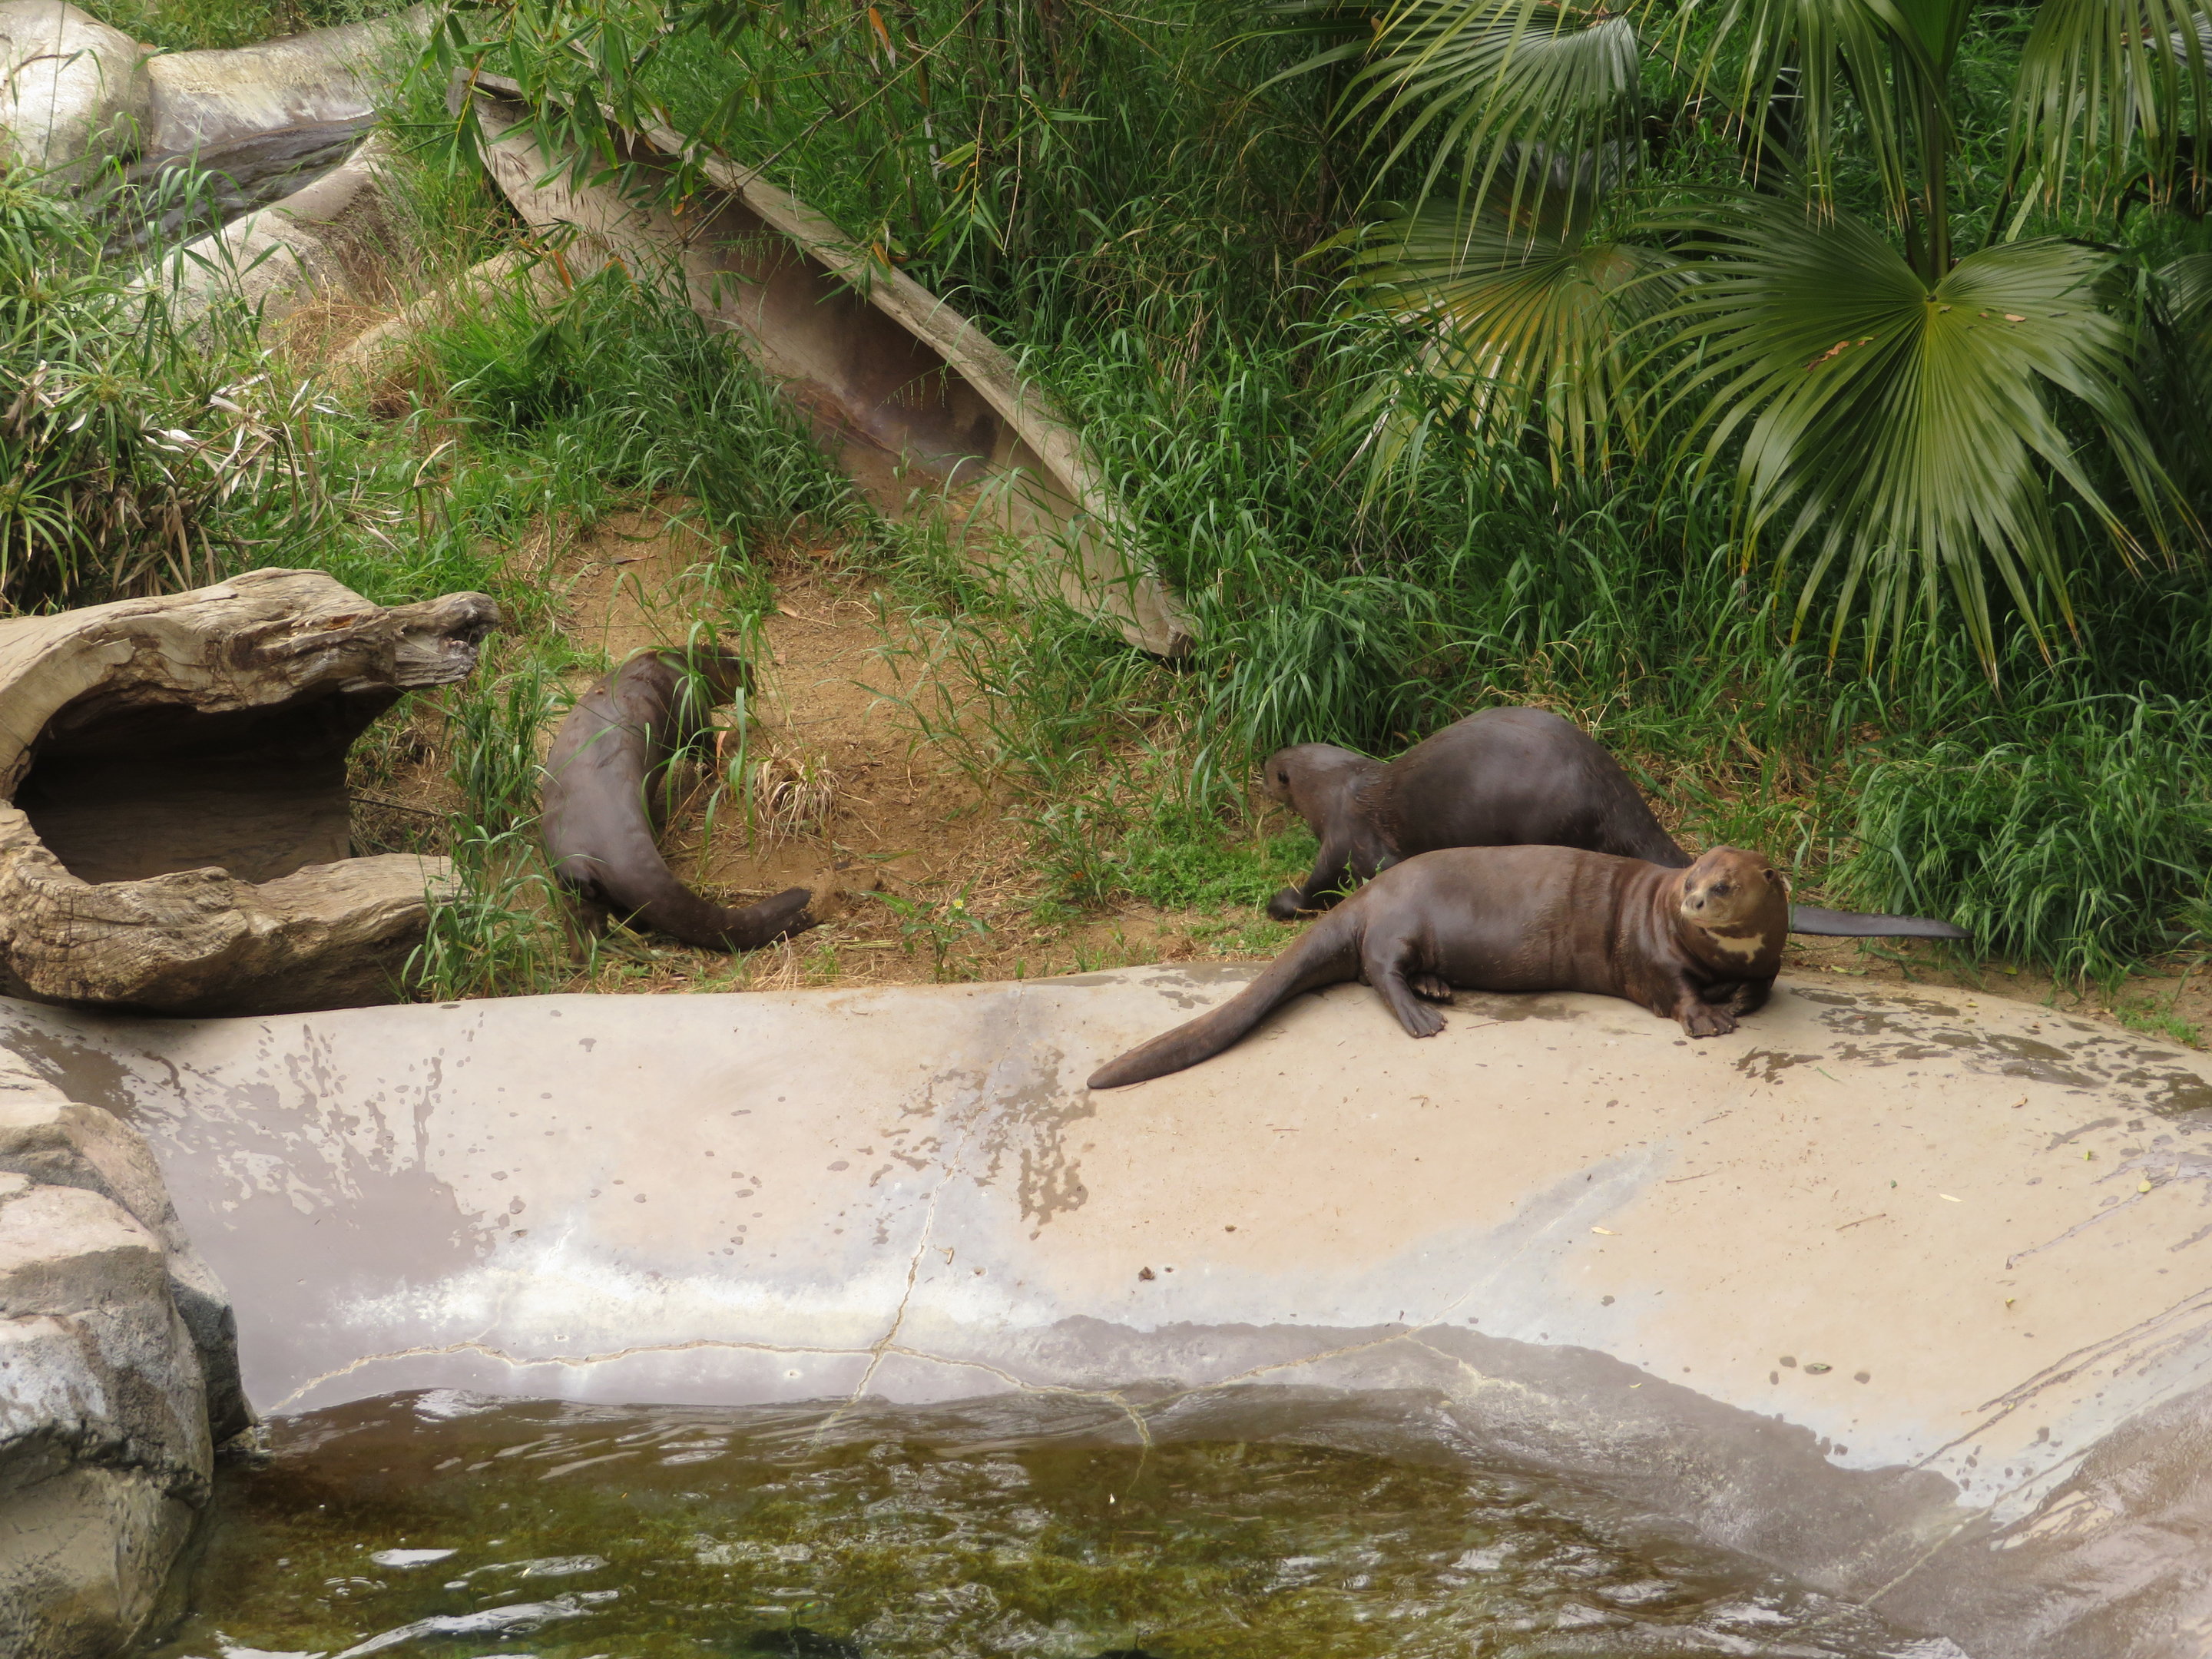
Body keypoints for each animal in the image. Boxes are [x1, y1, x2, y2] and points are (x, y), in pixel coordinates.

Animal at [542, 647, 815, 952]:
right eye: (744, 668)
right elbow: (703, 746)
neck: (679, 662)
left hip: (569, 875)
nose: (753, 677)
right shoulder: (691, 704)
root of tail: (611, 854)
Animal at [1090, 843, 1785, 1089]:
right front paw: (1709, 1016)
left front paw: (1737, 998)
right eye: (1691, 879)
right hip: (1398, 924)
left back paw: (1437, 987)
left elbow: (1765, 983)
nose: (1693, 903)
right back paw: (1422, 1015)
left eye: (1723, 884)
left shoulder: (1768, 958)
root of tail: (1368, 893)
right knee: (1377, 970)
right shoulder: (1652, 955)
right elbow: (1676, 989)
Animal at [1263, 706, 1967, 940]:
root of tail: (1611, 785)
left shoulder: (1347, 831)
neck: (1344, 783)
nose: (1260, 767)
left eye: (1272, 769)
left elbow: (1332, 875)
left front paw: (1284, 902)